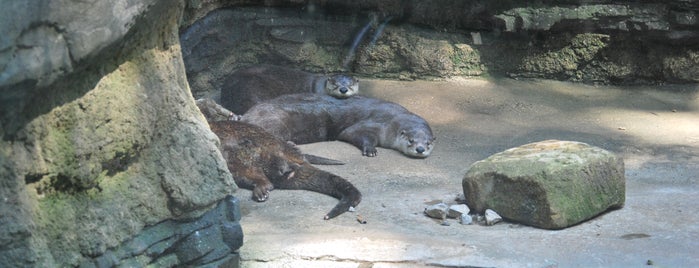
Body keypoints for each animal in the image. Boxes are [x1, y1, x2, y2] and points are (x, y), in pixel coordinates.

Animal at [243, 93, 434, 157]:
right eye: (411, 140)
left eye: (428, 143)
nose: (420, 149)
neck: (393, 121)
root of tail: (247, 115)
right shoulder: (376, 123)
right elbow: (353, 134)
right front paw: (370, 150)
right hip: (276, 119)